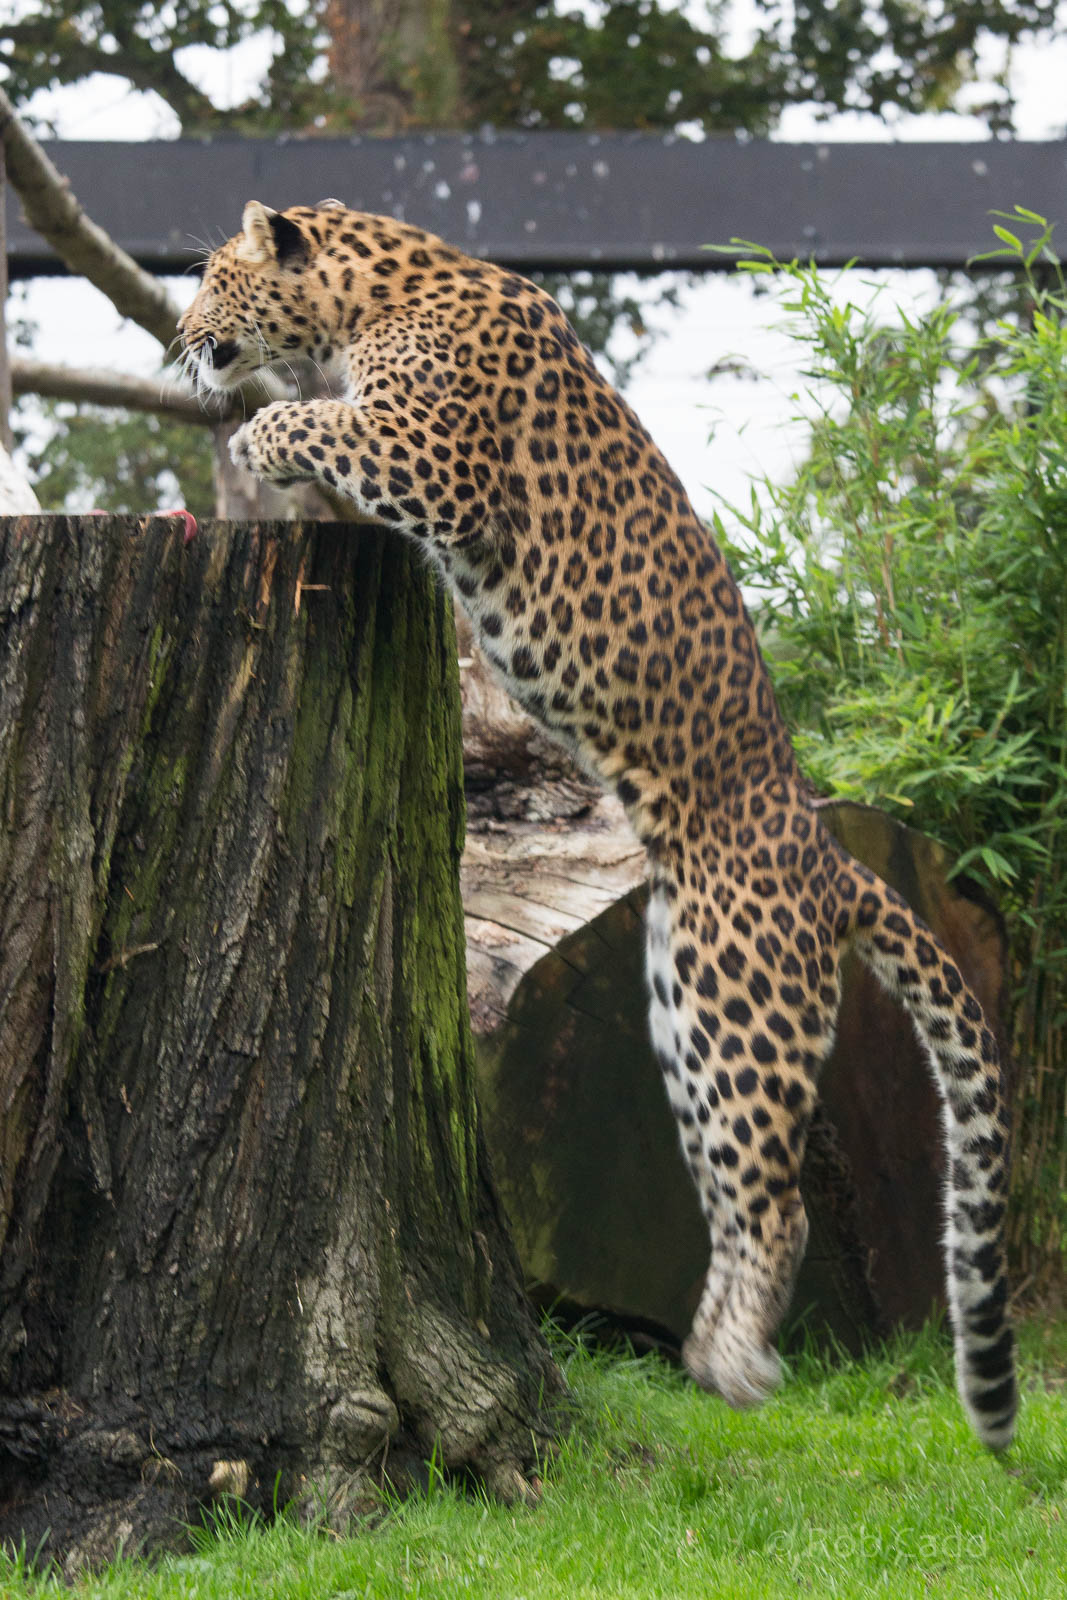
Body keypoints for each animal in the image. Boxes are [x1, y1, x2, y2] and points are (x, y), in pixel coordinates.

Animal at [179, 199, 1018, 1450]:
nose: (180, 337)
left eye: (210, 281)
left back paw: (734, 1366)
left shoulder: (435, 457)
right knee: (738, 1187)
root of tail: (827, 854)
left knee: (779, 1204)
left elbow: (322, 422)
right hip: (680, 1002)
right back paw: (709, 1354)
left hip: (738, 998)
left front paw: (265, 436)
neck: (368, 295)